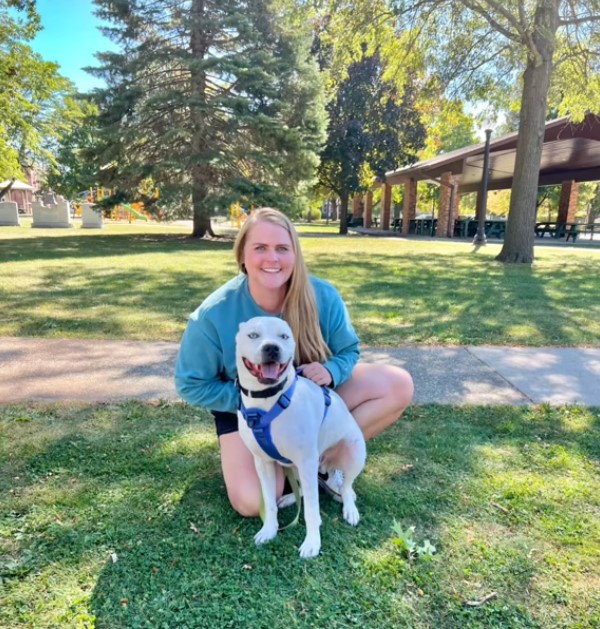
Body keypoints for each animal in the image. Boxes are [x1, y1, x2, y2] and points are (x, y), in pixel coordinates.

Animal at [234, 316, 366, 556]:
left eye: (284, 336)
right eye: (253, 335)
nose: (271, 348)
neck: (267, 400)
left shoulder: (306, 461)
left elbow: (312, 511)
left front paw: (312, 542)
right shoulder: (263, 463)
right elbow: (269, 502)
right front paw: (269, 530)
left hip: (352, 454)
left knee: (346, 486)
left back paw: (350, 510)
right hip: (298, 467)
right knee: (305, 489)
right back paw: (288, 498)